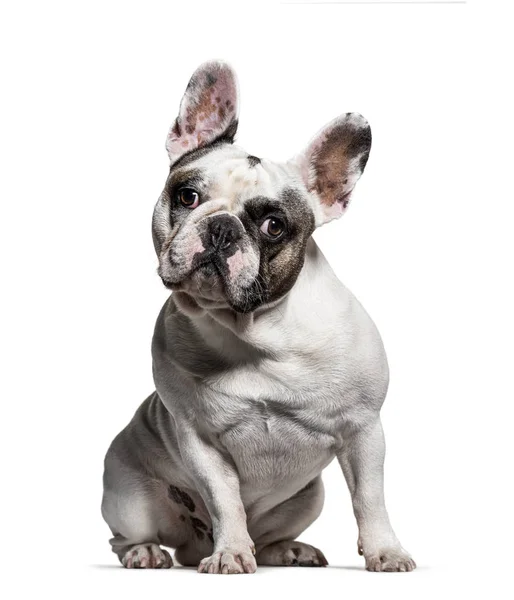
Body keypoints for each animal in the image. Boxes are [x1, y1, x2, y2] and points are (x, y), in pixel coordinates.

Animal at [102, 59, 414, 572]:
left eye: (273, 226)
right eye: (187, 196)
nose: (222, 228)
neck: (254, 330)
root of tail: (190, 545)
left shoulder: (364, 429)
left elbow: (370, 498)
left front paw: (386, 552)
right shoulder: (199, 440)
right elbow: (224, 499)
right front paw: (229, 552)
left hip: (309, 498)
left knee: (271, 534)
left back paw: (288, 549)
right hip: (129, 498)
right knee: (124, 536)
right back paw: (149, 551)